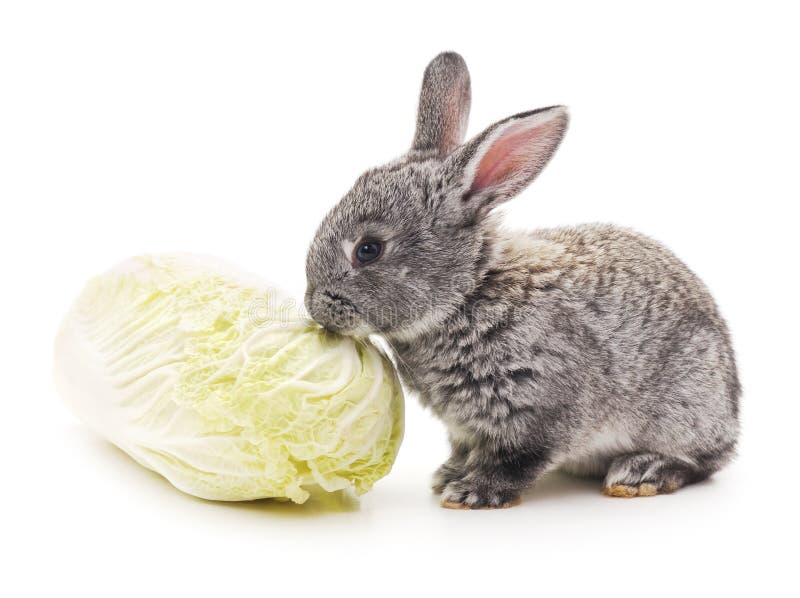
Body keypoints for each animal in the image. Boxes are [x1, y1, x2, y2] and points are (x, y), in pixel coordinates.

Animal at [304, 51, 740, 509]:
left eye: (368, 249)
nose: (316, 307)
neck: (470, 292)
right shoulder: (468, 428)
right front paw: (448, 476)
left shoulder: (538, 405)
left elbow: (518, 458)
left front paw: (472, 492)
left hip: (682, 408)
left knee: (701, 461)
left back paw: (642, 472)